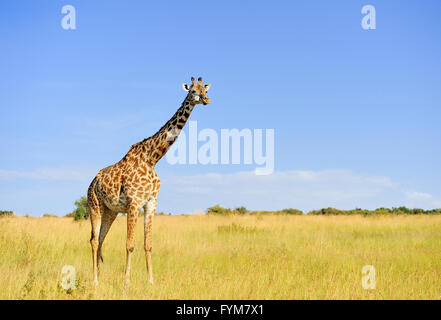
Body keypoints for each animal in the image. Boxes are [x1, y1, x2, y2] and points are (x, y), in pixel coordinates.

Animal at [87, 77, 211, 288]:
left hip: (110, 211)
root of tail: (91, 183)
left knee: (101, 239)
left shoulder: (151, 203)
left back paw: (100, 277)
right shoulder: (134, 203)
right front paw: (126, 283)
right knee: (94, 241)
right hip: (94, 206)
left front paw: (151, 281)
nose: (206, 100)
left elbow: (148, 244)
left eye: (206, 89)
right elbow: (129, 245)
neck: (152, 158)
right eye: (193, 90)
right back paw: (95, 281)